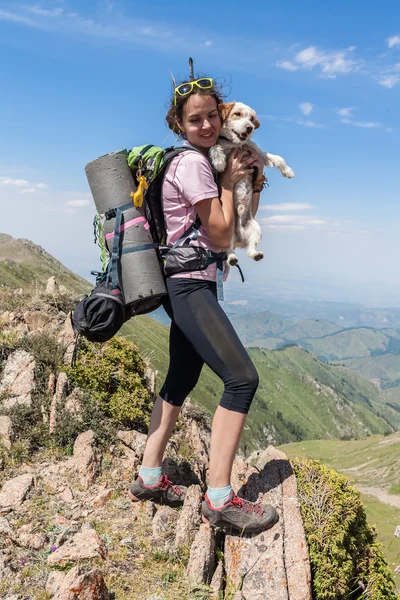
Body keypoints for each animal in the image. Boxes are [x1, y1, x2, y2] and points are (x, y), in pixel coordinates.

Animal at [209, 102, 294, 266]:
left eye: (252, 119)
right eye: (237, 114)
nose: (250, 128)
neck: (234, 143)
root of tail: (239, 238)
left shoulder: (258, 155)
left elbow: (277, 158)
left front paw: (288, 171)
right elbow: (214, 147)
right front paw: (219, 161)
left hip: (256, 229)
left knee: (250, 250)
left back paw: (255, 254)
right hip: (226, 233)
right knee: (227, 249)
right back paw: (232, 258)